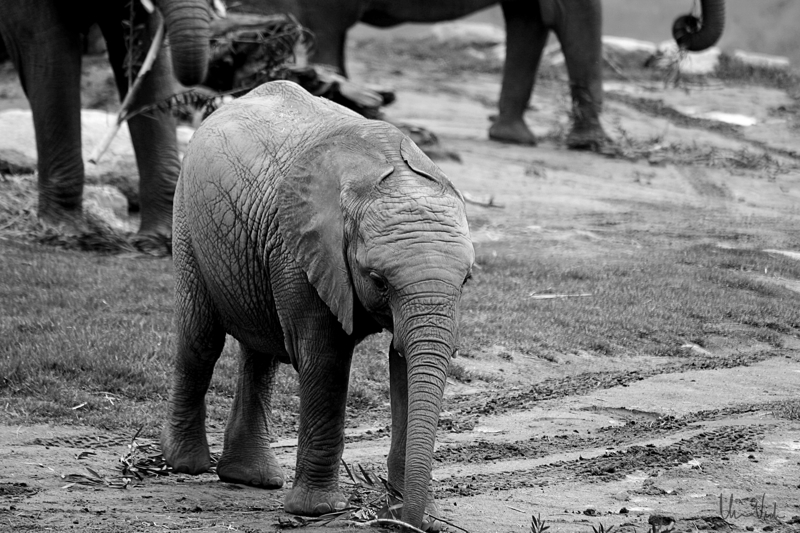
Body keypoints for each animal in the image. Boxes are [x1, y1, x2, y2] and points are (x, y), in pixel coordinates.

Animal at [162, 79, 476, 528]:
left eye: (466, 279)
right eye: (378, 280)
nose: (403, 521)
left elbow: (403, 364)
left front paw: (415, 514)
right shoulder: (301, 251)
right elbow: (325, 359)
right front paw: (319, 511)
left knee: (260, 352)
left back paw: (250, 478)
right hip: (188, 217)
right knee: (200, 340)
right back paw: (186, 464)